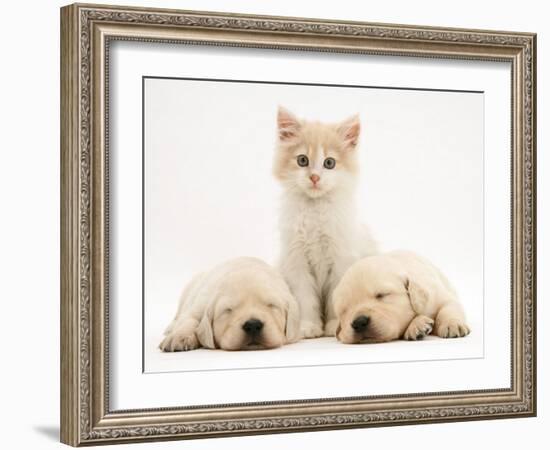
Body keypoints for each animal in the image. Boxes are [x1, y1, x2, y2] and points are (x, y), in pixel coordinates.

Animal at [158, 256, 302, 352]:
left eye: (272, 305)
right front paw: (179, 337)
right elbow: (189, 320)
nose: (253, 325)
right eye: (228, 310)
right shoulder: (200, 304)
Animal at [272, 106, 378, 338]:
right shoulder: (297, 261)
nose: (314, 177)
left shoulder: (340, 259)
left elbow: (336, 296)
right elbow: (305, 299)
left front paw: (333, 325)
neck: (315, 208)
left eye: (329, 163)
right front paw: (308, 327)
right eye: (302, 160)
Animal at [334, 251, 472, 342]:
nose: (359, 322)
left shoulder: (437, 295)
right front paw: (418, 324)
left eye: (381, 295)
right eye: (344, 310)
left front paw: (452, 324)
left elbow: (448, 307)